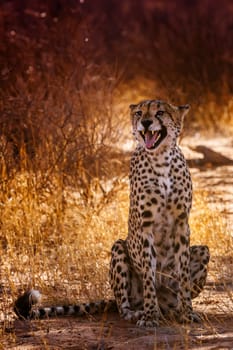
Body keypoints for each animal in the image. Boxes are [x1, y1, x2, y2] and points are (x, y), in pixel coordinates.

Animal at [109, 100, 209, 326]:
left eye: (160, 112)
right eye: (139, 113)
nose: (145, 122)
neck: (161, 159)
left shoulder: (181, 224)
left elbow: (183, 274)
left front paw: (187, 313)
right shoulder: (146, 227)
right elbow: (148, 273)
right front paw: (150, 316)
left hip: (203, 251)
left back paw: (174, 310)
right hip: (118, 246)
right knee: (122, 306)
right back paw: (140, 312)